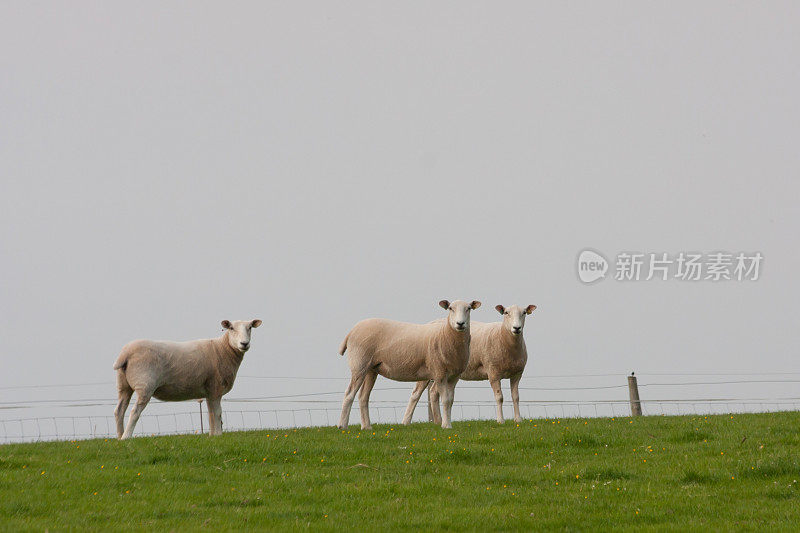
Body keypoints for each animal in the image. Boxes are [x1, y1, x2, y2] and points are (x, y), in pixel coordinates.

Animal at [111, 318, 262, 438]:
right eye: (231, 328)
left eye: (250, 327)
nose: (244, 344)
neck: (223, 349)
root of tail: (125, 353)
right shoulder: (215, 387)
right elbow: (218, 413)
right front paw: (219, 435)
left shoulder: (209, 391)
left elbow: (211, 414)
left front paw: (212, 435)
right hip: (144, 384)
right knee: (134, 411)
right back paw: (126, 437)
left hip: (123, 385)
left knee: (119, 410)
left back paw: (119, 436)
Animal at [338, 300, 482, 428]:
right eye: (450, 308)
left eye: (469, 308)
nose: (460, 323)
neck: (445, 334)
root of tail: (352, 331)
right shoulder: (439, 372)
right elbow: (445, 400)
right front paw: (446, 426)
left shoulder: (455, 375)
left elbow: (451, 400)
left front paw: (447, 424)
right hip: (359, 364)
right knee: (349, 393)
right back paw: (342, 426)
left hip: (371, 369)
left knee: (363, 396)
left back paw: (366, 427)